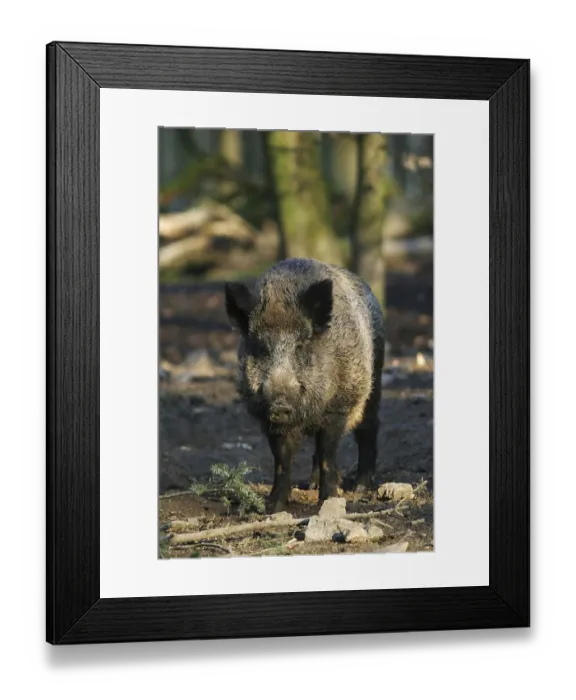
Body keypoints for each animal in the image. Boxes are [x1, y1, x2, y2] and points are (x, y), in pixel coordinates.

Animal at [224, 258, 385, 512]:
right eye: (261, 349)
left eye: (300, 345)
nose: (279, 405)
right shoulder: (268, 421)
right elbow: (281, 460)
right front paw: (274, 507)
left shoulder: (337, 409)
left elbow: (328, 453)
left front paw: (328, 501)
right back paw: (311, 485)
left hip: (373, 383)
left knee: (368, 429)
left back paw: (360, 488)